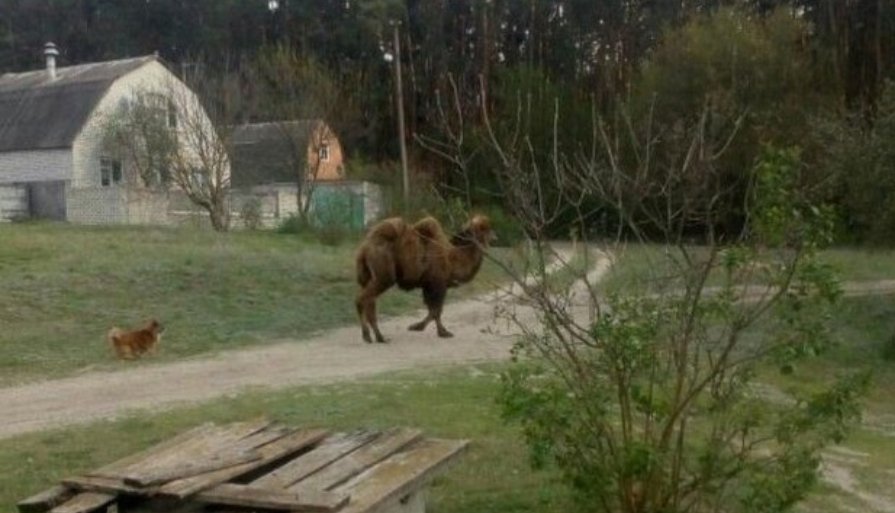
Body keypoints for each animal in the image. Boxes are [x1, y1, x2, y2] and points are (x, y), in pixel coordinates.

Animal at [356, 214, 496, 342]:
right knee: (363, 299)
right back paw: (373, 336)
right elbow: (436, 310)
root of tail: (364, 248)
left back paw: (375, 336)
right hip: (384, 276)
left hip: (368, 277)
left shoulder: (428, 285)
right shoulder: (437, 284)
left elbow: (432, 309)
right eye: (485, 229)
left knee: (369, 302)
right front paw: (436, 331)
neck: (453, 259)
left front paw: (422, 327)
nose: (496, 236)